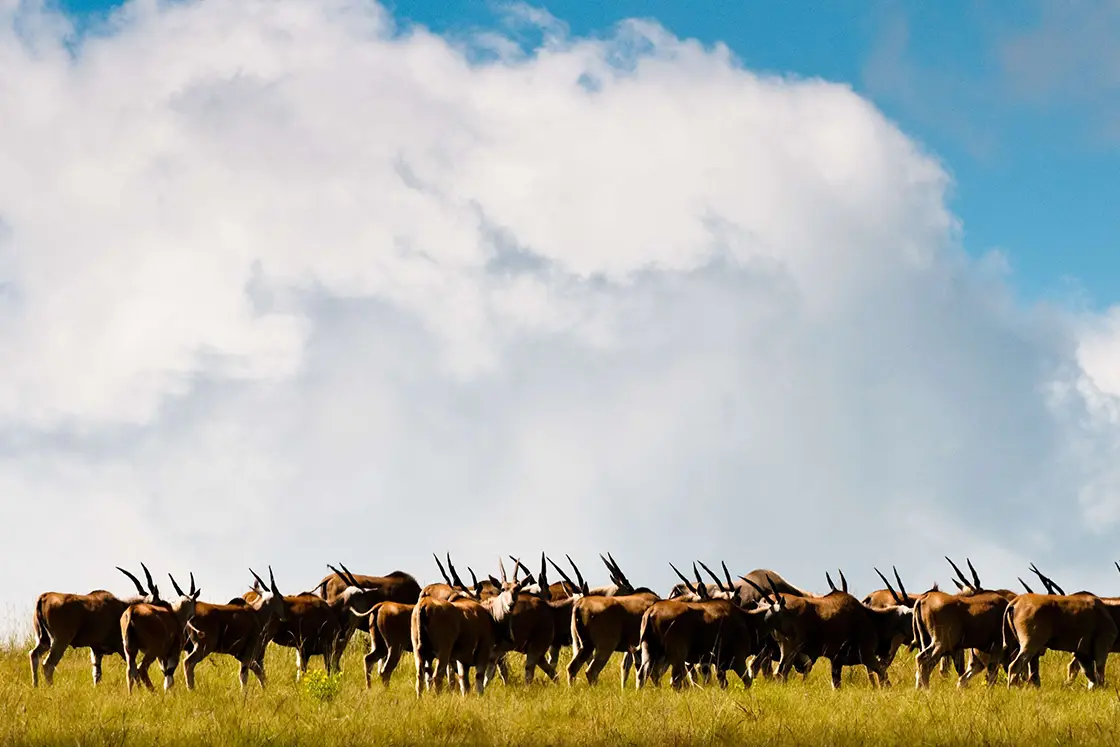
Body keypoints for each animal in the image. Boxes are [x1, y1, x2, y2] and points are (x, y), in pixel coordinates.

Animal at [29, 564, 159, 685]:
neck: (122, 607)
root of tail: (44, 597)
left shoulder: (96, 650)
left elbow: (97, 675)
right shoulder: (121, 647)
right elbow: (133, 669)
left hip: (44, 640)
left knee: (33, 655)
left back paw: (35, 686)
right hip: (60, 641)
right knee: (48, 664)